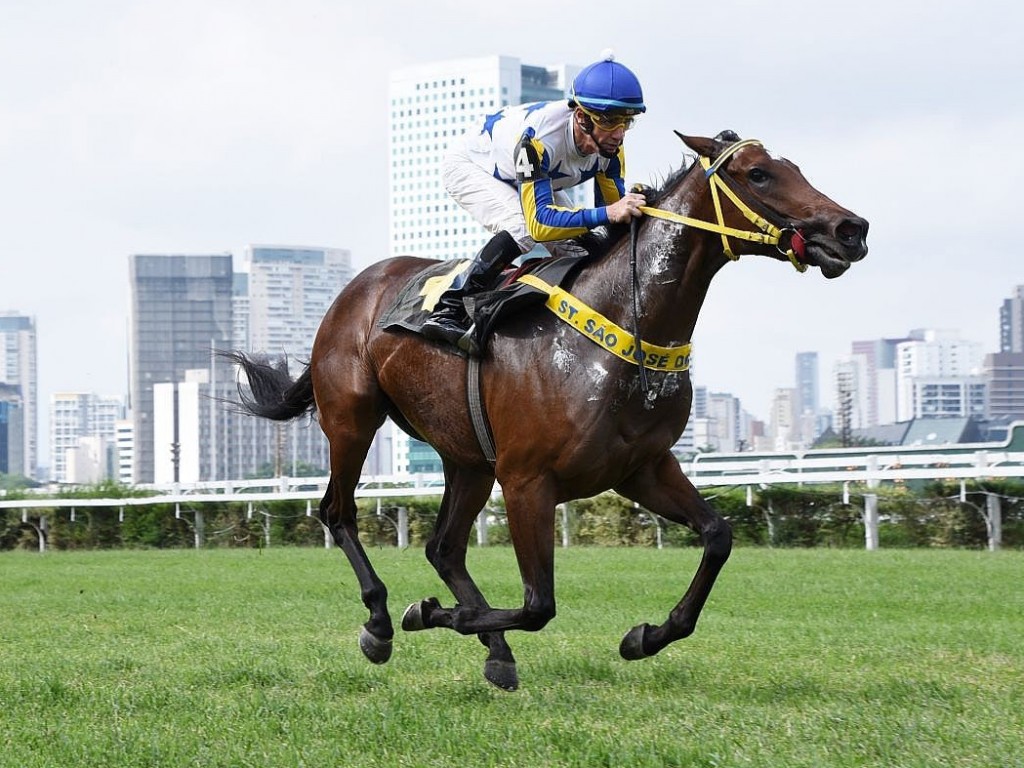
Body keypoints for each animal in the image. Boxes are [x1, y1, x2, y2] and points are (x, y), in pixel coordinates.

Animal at [228, 132, 868, 692]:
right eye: (758, 174)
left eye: (793, 167)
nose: (852, 229)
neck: (620, 323)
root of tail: (352, 291)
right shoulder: (526, 481)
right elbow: (539, 605)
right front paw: (427, 614)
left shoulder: (642, 467)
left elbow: (717, 537)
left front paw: (645, 636)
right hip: (352, 421)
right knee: (337, 513)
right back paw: (383, 622)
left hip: (467, 456)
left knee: (443, 547)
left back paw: (496, 654)